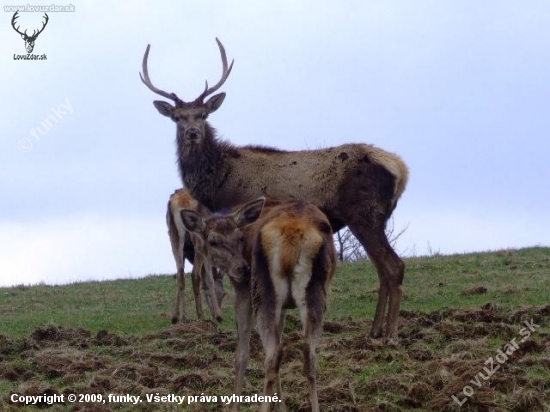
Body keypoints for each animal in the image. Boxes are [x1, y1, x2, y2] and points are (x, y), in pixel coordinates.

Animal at [166, 188, 226, 324]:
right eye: (222, 293)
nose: (218, 310)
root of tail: (181, 202)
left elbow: (178, 275)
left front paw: (176, 317)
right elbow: (209, 278)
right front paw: (218, 315)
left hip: (173, 236)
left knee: (181, 274)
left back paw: (183, 317)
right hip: (198, 238)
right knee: (195, 274)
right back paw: (200, 315)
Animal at [179, 198, 338, 410]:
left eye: (239, 238)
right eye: (213, 241)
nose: (243, 268)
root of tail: (292, 235)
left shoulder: (243, 289)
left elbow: (242, 353)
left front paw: (234, 407)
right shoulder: (284, 305)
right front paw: (282, 407)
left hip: (262, 291)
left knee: (272, 354)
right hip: (316, 292)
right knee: (308, 354)